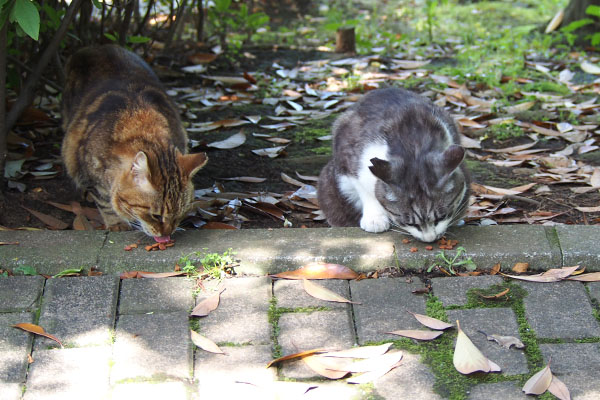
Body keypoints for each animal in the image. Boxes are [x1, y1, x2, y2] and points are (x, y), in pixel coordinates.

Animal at [61, 45, 206, 242]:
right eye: (156, 216)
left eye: (179, 215)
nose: (167, 234)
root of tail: (95, 47)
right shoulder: (91, 173)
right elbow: (105, 202)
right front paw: (116, 223)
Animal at [316, 87, 472, 242]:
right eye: (409, 223)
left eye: (442, 217)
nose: (429, 239)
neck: (414, 147)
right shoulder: (348, 157)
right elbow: (365, 189)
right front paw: (375, 218)